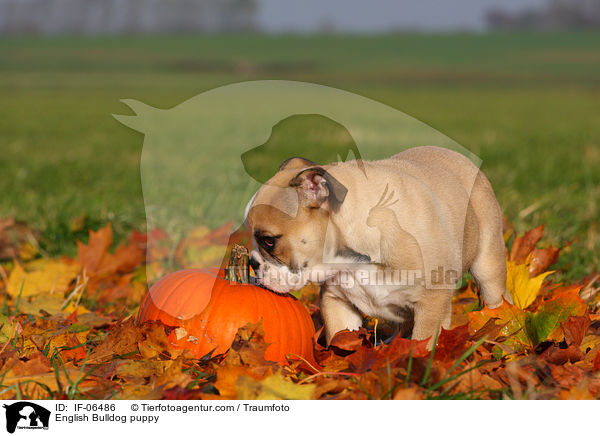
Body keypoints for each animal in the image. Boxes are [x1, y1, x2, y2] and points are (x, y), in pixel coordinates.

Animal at [244, 146, 510, 348]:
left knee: (496, 295)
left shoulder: (431, 304)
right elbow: (340, 338)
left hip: (488, 264)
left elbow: (423, 344)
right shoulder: (336, 301)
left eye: (269, 241)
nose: (252, 262)